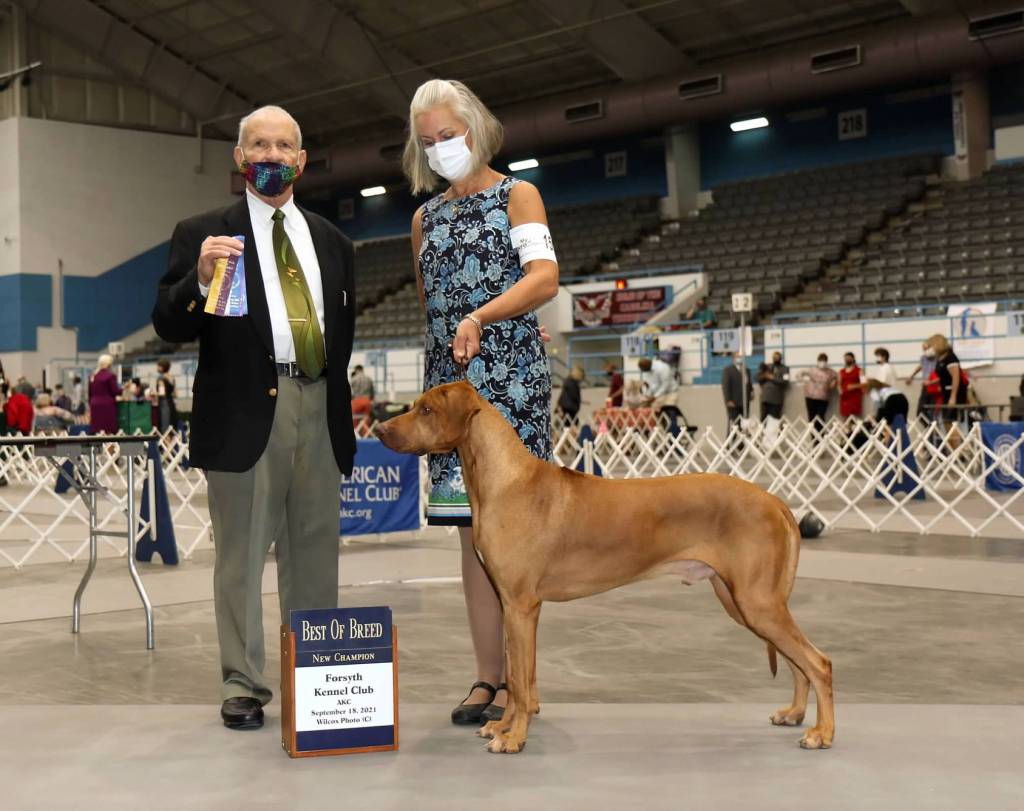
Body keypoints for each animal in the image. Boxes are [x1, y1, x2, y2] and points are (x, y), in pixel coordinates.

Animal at [374, 381, 834, 754]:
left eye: (426, 410)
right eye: (414, 406)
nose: (379, 431)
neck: (506, 481)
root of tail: (774, 500)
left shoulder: (521, 605)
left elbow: (520, 682)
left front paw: (514, 738)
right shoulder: (512, 605)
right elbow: (522, 678)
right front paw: (503, 727)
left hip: (756, 601)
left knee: (818, 662)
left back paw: (821, 734)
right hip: (744, 602)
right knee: (798, 662)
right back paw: (793, 714)